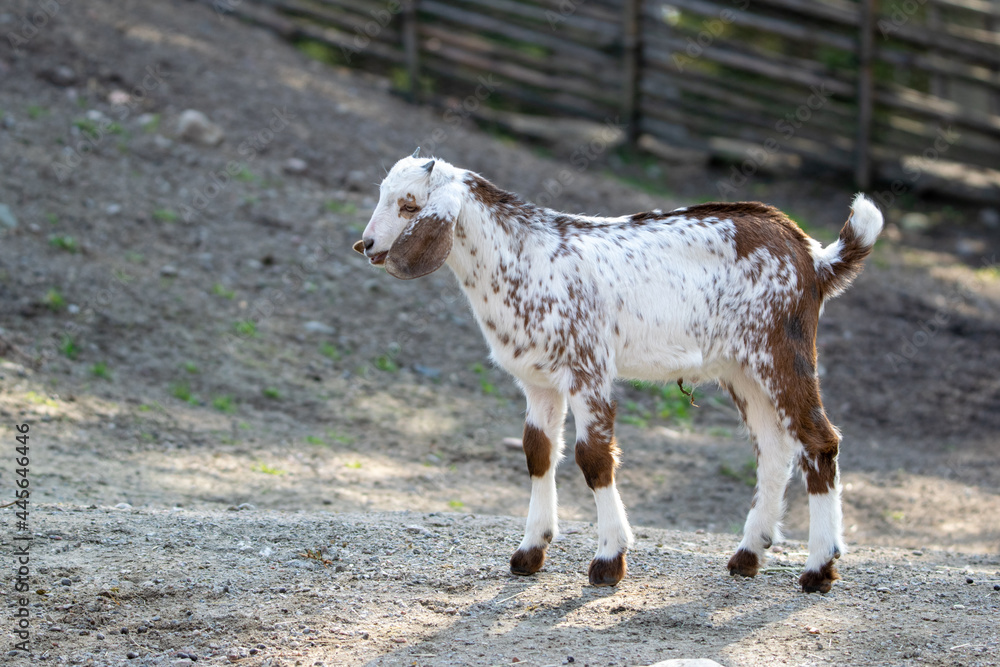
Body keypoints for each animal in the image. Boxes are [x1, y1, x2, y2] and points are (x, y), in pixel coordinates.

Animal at [354, 151, 882, 592]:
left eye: (409, 205)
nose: (368, 244)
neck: (523, 257)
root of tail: (813, 256)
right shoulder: (538, 380)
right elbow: (538, 452)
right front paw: (530, 551)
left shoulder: (588, 369)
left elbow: (593, 457)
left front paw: (609, 560)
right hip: (742, 369)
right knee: (774, 451)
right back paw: (748, 556)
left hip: (780, 353)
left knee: (818, 441)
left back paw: (818, 569)